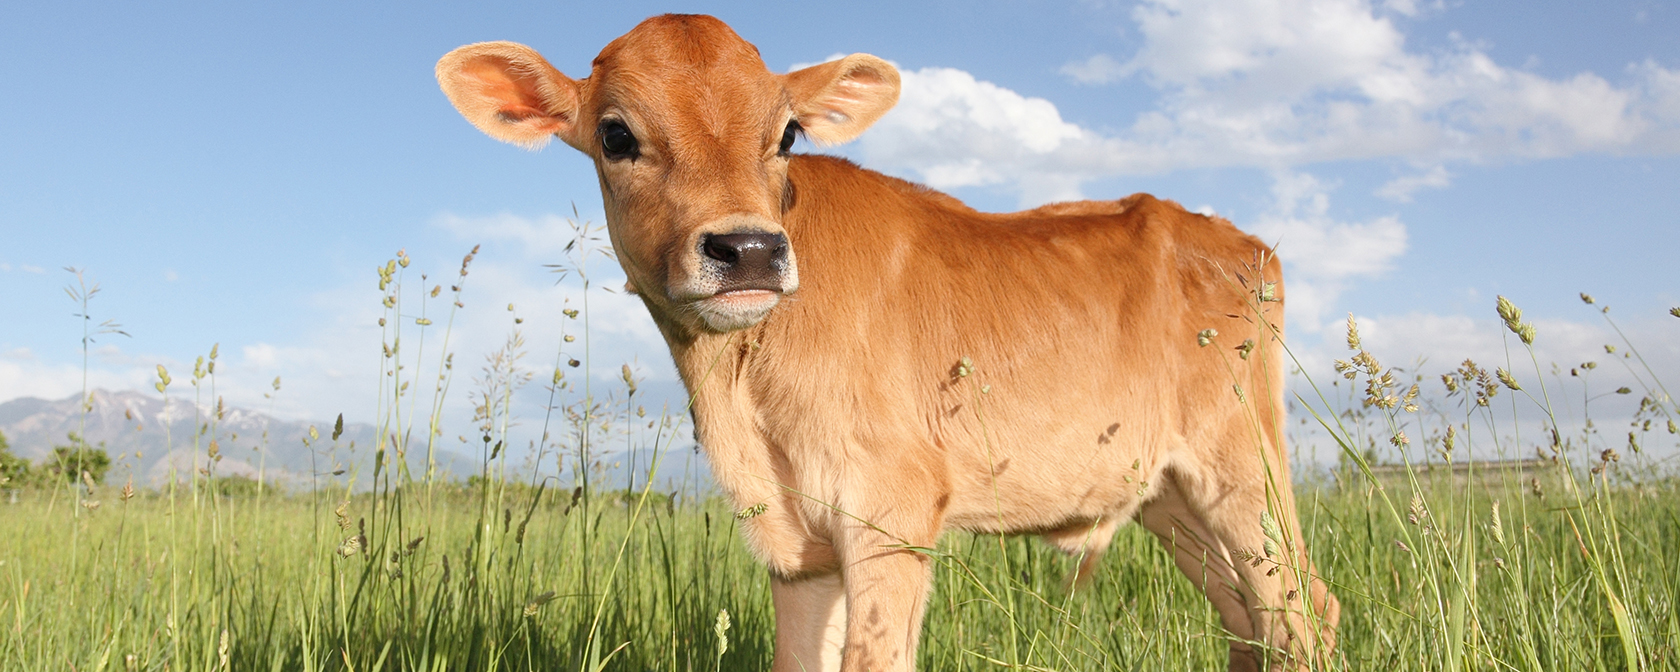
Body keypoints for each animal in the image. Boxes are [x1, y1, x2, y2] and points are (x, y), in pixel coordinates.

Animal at [440, 13, 1344, 668]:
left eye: (788, 134)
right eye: (617, 134)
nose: (749, 250)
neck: (741, 393)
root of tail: (1234, 240)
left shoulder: (892, 509)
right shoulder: (797, 547)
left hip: (1242, 466)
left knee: (1303, 611)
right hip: (1170, 495)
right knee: (1249, 623)